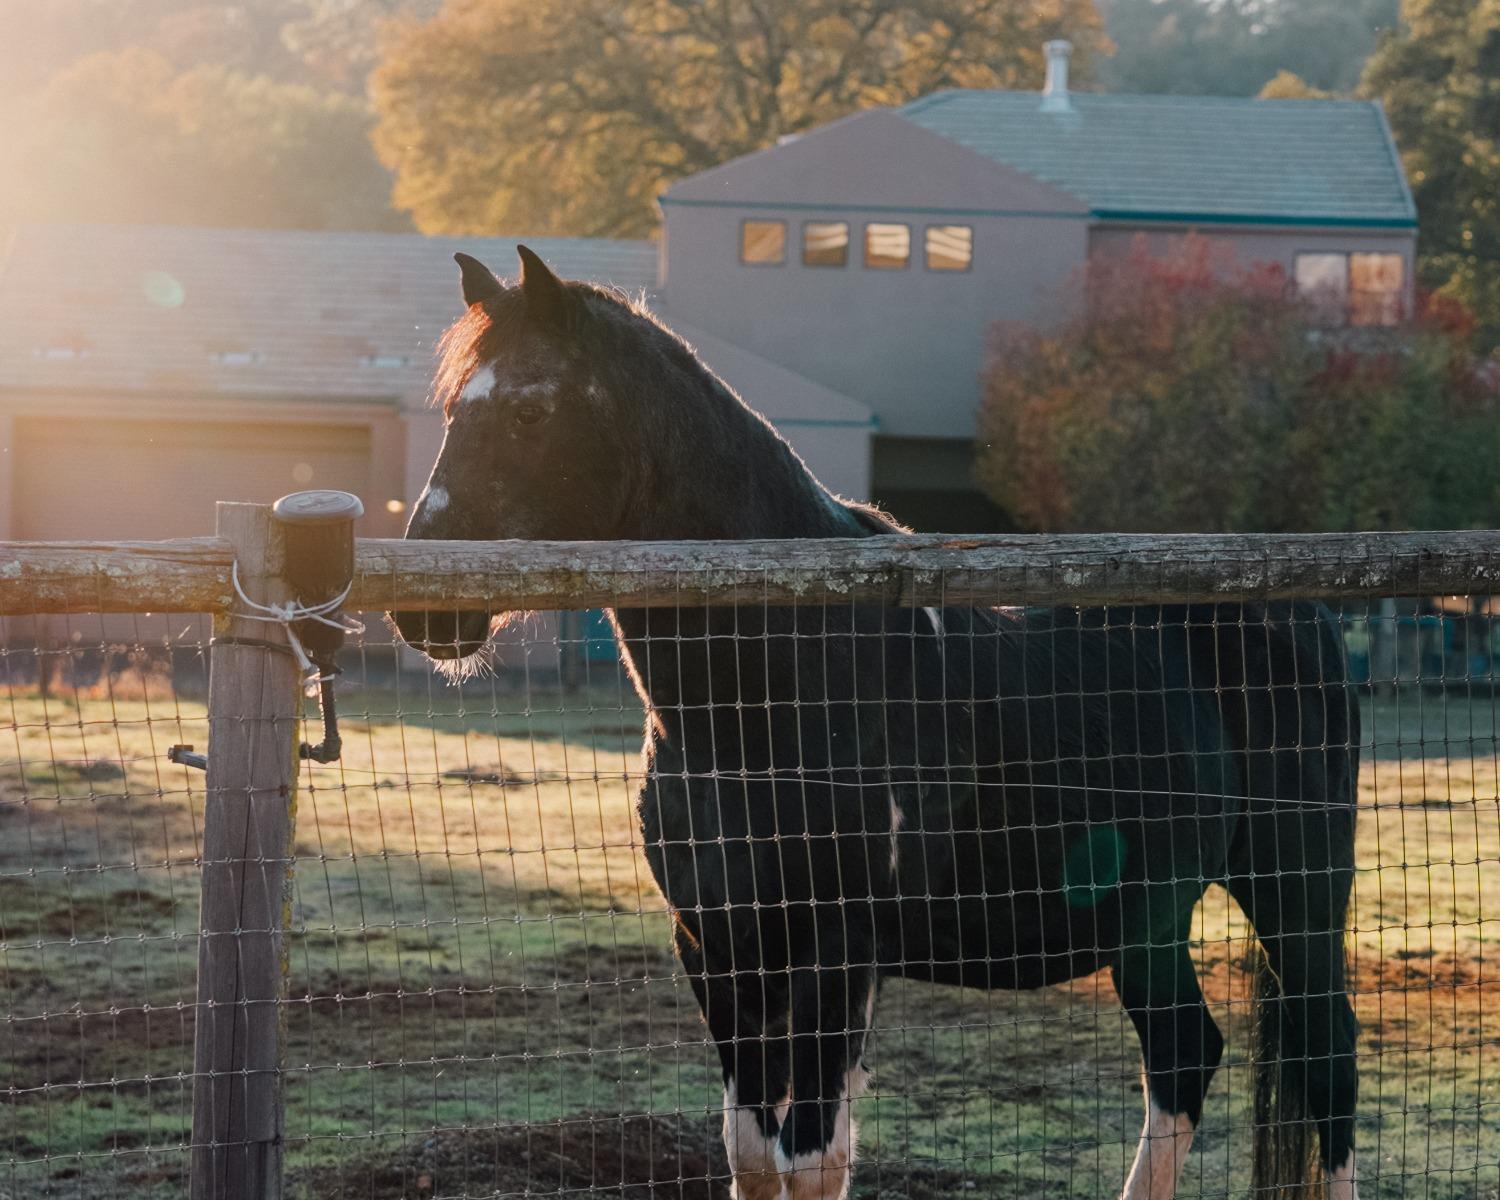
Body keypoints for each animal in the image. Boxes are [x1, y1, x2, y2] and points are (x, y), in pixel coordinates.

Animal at [387, 250, 1362, 1200]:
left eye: (528, 410)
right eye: (452, 411)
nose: (421, 611)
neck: (772, 693)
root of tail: (1299, 614)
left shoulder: (836, 955)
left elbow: (811, 1162)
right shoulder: (718, 949)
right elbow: (751, 1157)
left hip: (1296, 895)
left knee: (1327, 1063)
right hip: (1146, 917)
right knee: (1184, 1059)